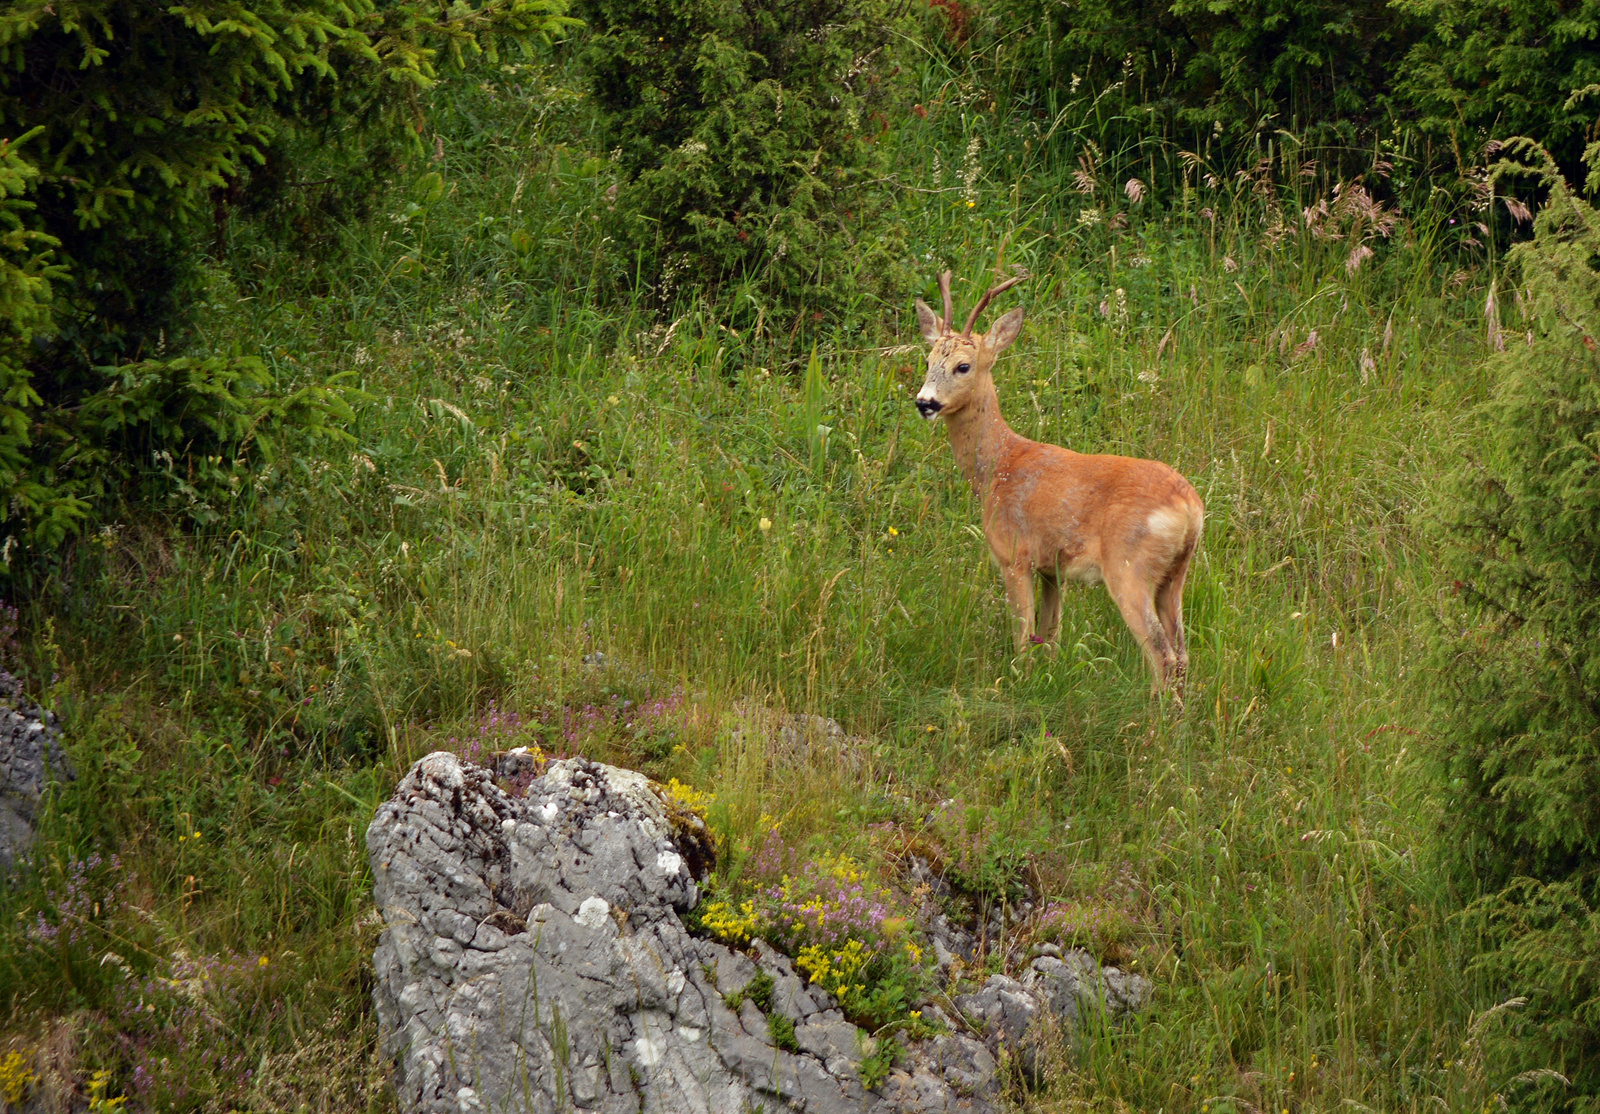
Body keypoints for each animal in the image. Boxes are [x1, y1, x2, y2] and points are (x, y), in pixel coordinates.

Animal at [915, 270, 1203, 701]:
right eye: (928, 360)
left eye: (963, 366)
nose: (925, 402)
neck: (997, 467)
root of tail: (1190, 509)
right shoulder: (1052, 567)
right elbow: (1050, 633)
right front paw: (1044, 678)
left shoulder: (1013, 555)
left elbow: (1023, 634)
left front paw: (1017, 682)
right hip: (1176, 574)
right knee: (1182, 653)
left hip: (1129, 566)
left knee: (1161, 653)